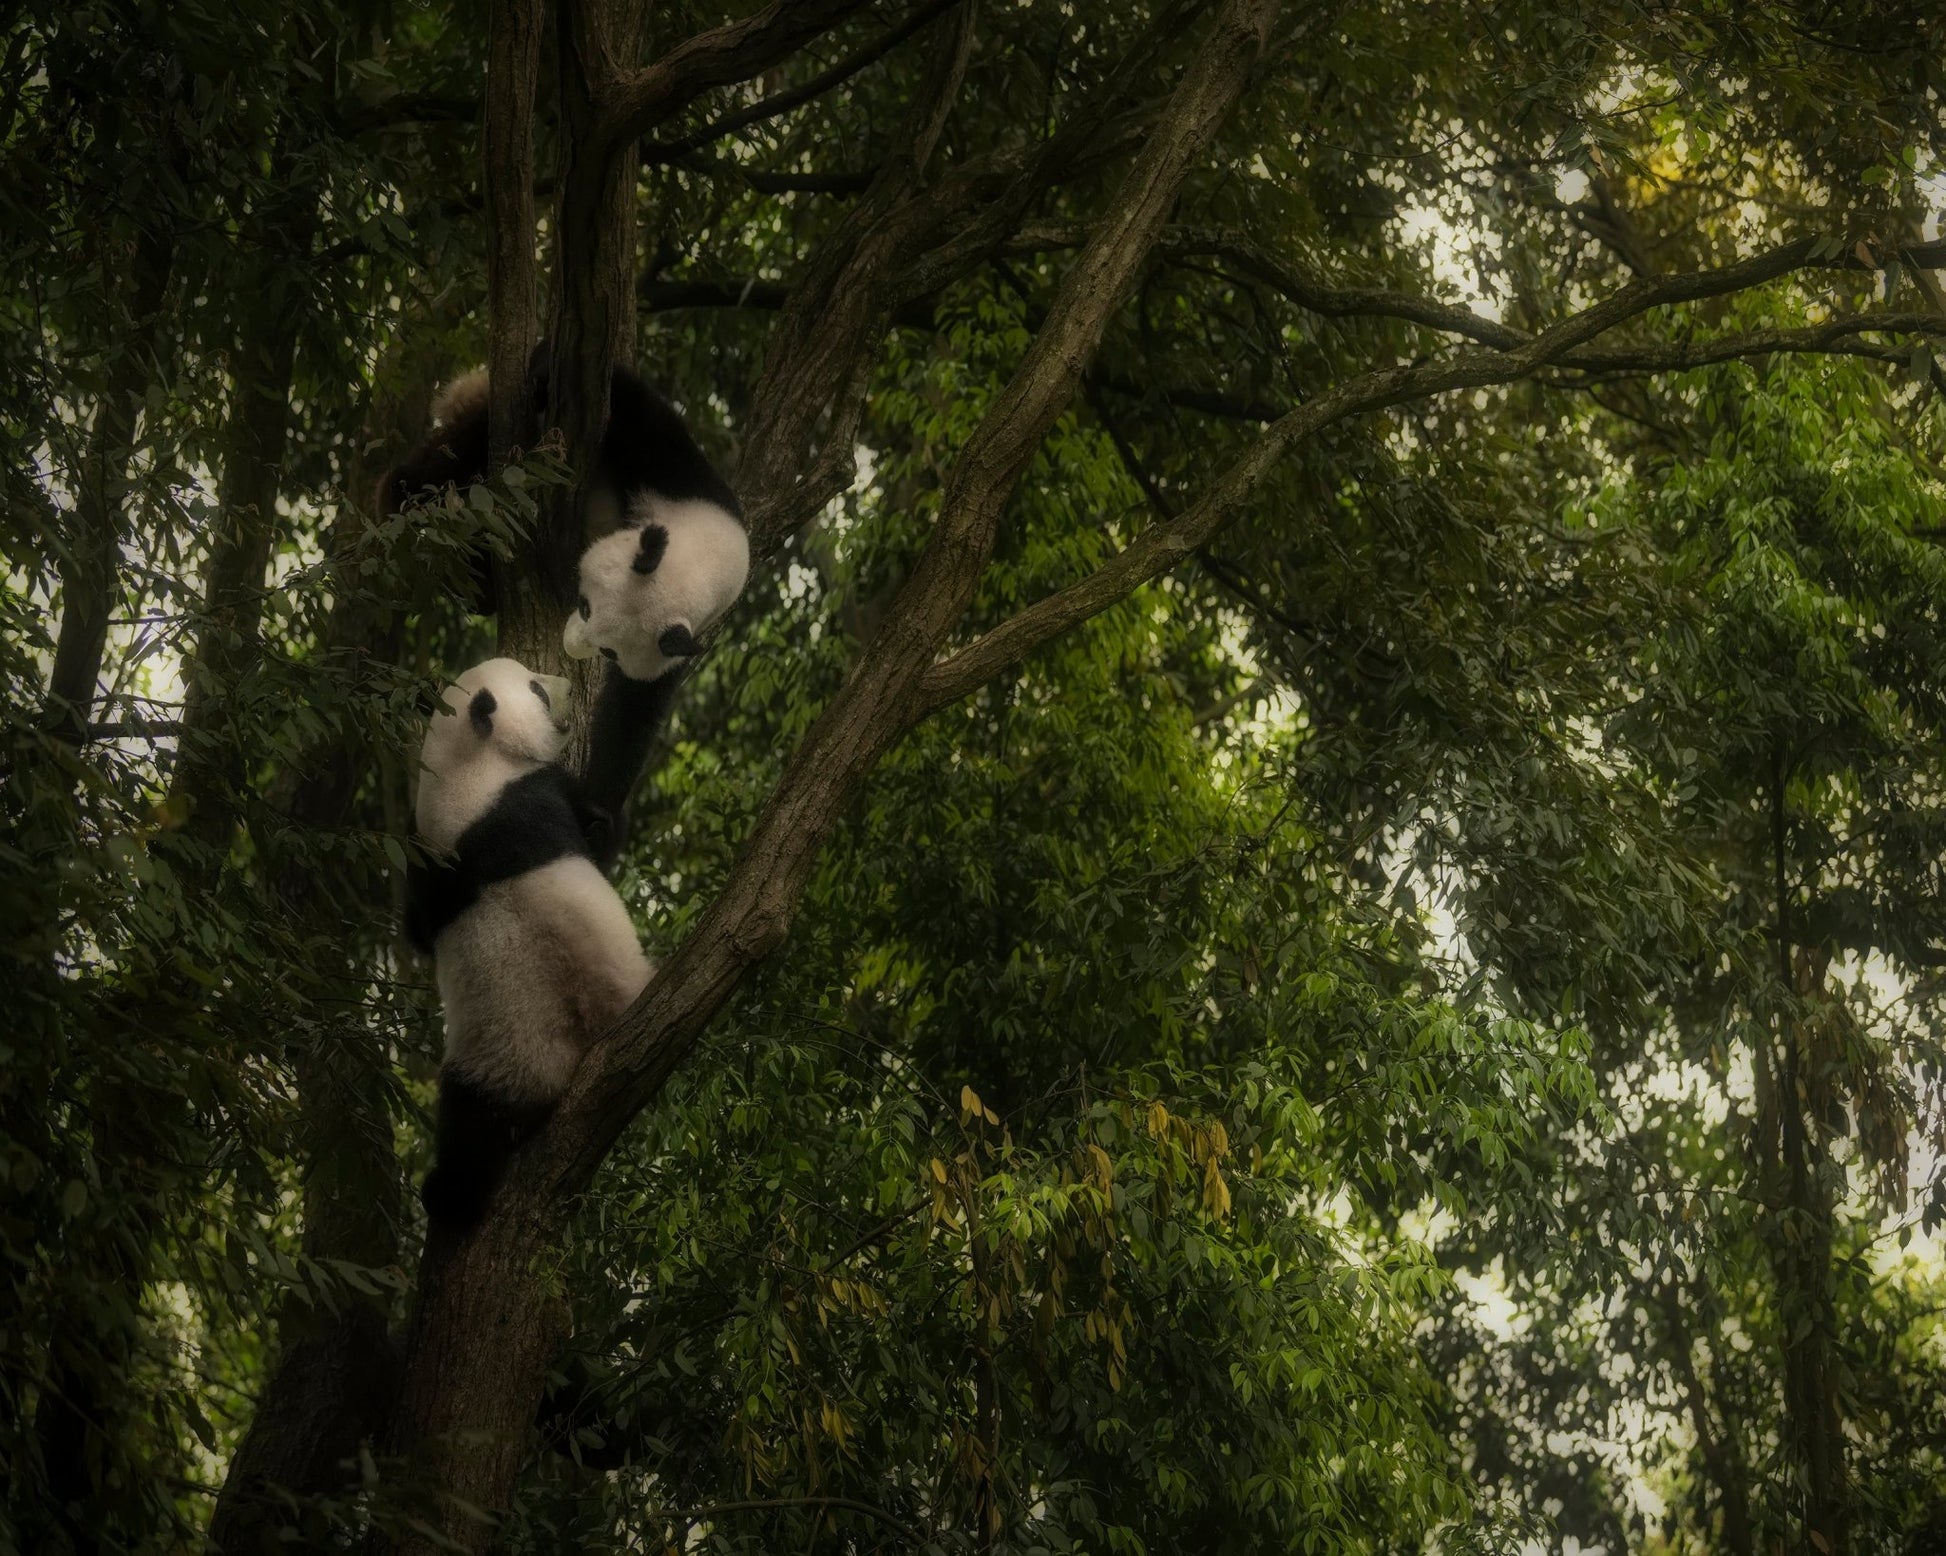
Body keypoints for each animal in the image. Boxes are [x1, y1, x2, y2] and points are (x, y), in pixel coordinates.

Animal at [406, 656, 652, 1230]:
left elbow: (419, 928)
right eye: (538, 689)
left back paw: (449, 1197)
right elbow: (596, 838)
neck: (467, 767)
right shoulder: (534, 796)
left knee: (468, 1122)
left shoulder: (430, 864)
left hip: (489, 1062)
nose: (572, 689)